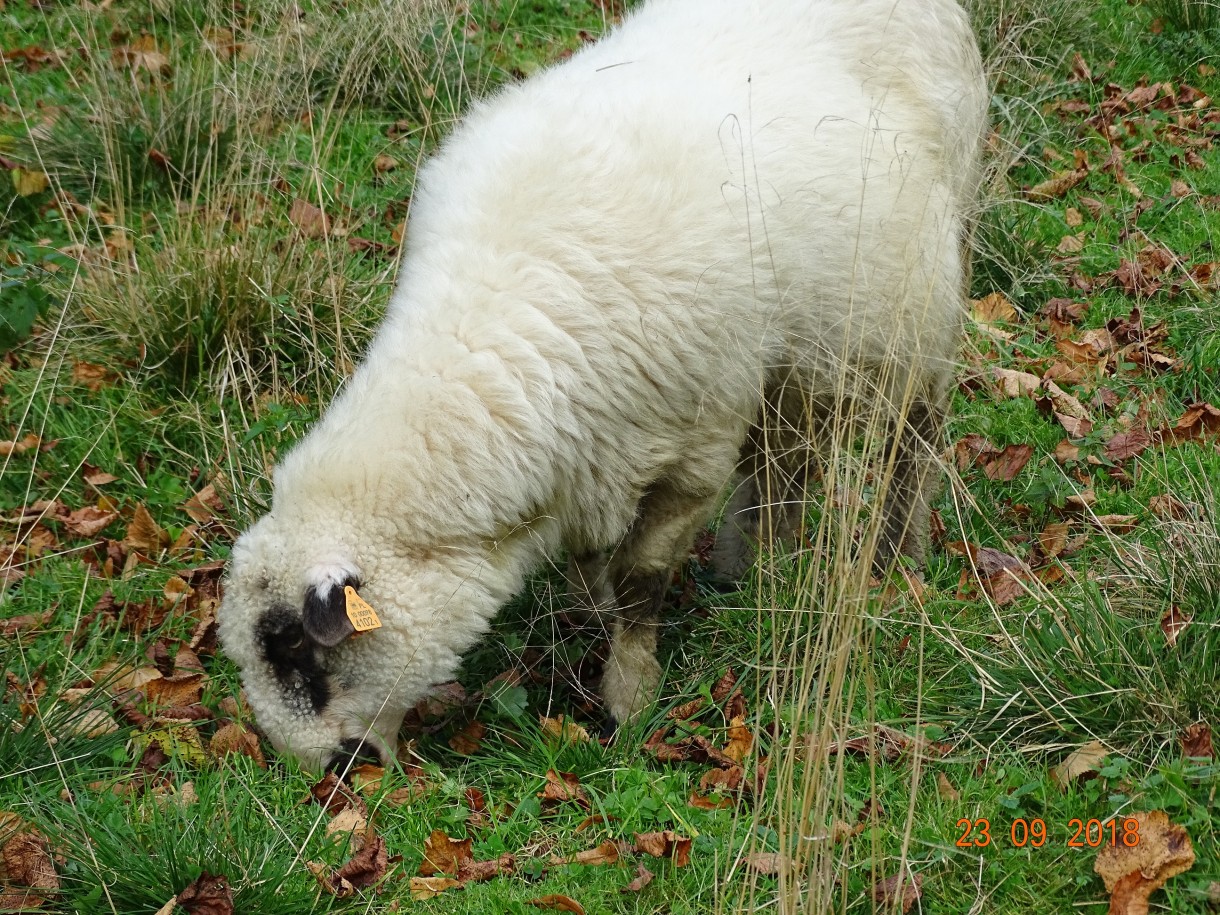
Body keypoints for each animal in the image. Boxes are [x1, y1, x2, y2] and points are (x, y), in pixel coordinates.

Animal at [214, 0, 985, 775]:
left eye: (296, 652)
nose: (321, 775)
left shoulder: (694, 451)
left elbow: (644, 579)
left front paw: (630, 696)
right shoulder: (587, 455)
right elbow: (592, 563)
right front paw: (593, 617)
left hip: (917, 308)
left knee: (915, 437)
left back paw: (900, 558)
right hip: (792, 350)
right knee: (782, 460)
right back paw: (757, 567)